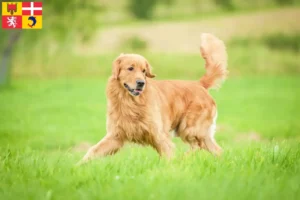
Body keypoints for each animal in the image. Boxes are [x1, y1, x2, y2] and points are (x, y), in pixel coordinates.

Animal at [77, 32, 227, 165]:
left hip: (190, 128)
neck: (131, 102)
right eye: (130, 68)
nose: (141, 83)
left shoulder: (160, 135)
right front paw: (77, 167)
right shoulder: (115, 136)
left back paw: (184, 158)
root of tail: (199, 84)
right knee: (216, 149)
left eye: (144, 71)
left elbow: (168, 155)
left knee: (197, 145)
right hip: (196, 132)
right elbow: (93, 151)